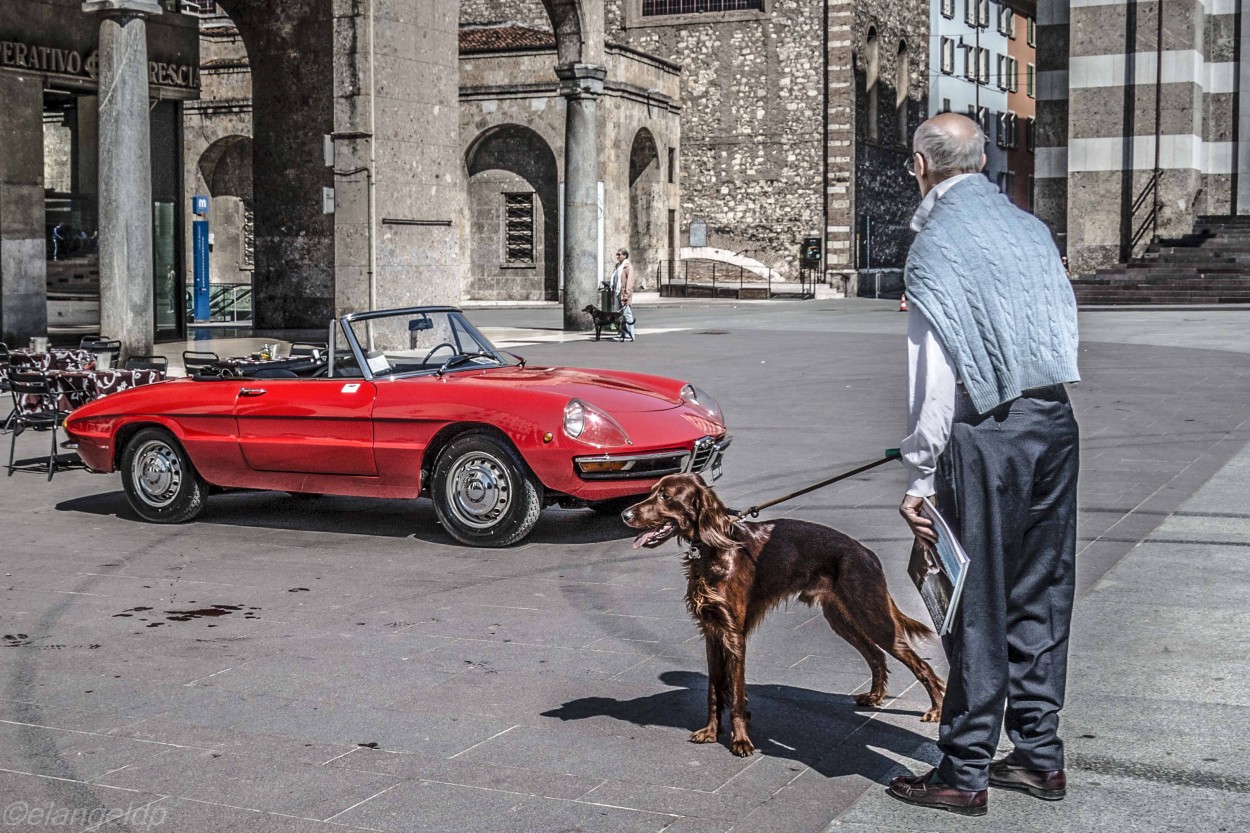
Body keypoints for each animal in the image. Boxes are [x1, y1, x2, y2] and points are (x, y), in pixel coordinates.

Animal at [625, 472, 945, 750]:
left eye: (666, 496)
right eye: (653, 491)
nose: (625, 515)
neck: (713, 549)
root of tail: (867, 553)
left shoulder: (733, 633)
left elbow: (737, 694)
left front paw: (741, 741)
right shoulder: (712, 631)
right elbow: (715, 689)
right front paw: (711, 732)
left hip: (872, 615)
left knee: (920, 664)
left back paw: (937, 709)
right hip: (842, 619)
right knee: (877, 656)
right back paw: (875, 696)